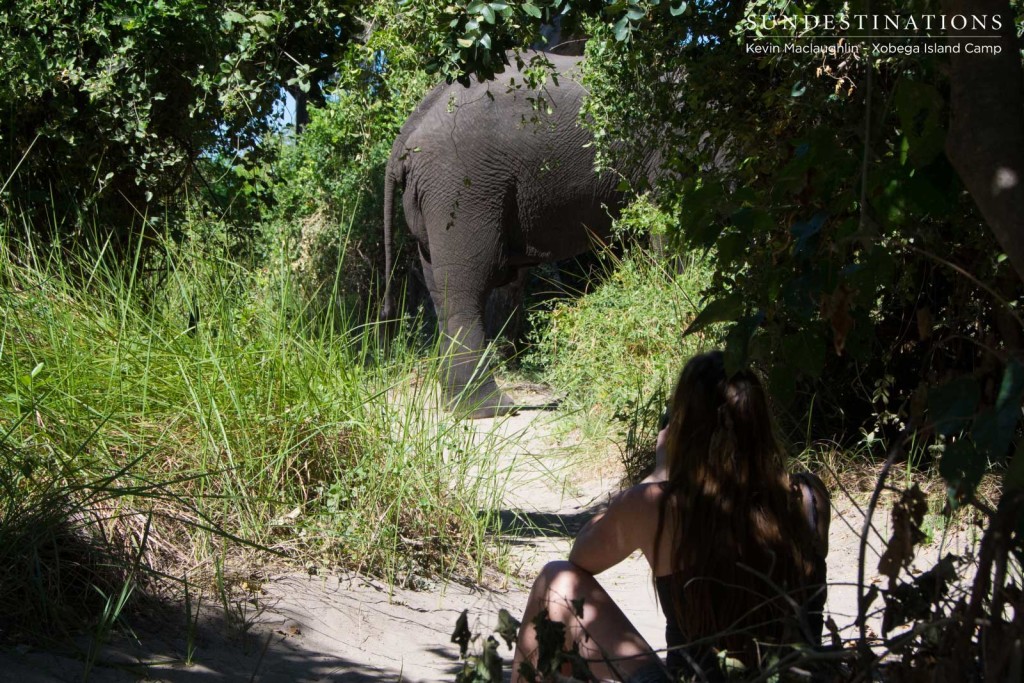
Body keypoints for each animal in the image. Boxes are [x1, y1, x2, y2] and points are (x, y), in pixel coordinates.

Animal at [380, 52, 643, 417]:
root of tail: (405, 136)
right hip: (462, 188)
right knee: (466, 289)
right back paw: (489, 409)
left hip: (432, 196)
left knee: (441, 291)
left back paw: (461, 405)